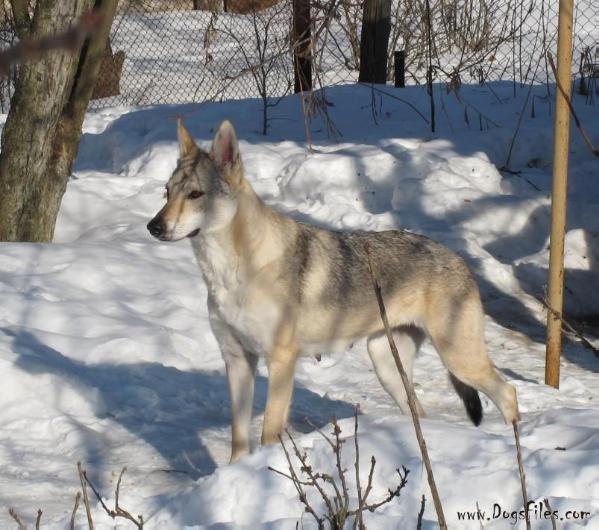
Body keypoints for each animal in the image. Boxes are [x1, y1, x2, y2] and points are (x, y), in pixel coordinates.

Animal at [149, 117, 520, 460]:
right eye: (167, 193)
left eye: (195, 194)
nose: (153, 227)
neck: (230, 272)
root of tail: (460, 258)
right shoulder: (238, 360)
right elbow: (238, 437)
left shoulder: (280, 361)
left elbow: (268, 432)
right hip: (388, 367)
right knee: (422, 413)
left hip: (459, 360)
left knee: (509, 394)